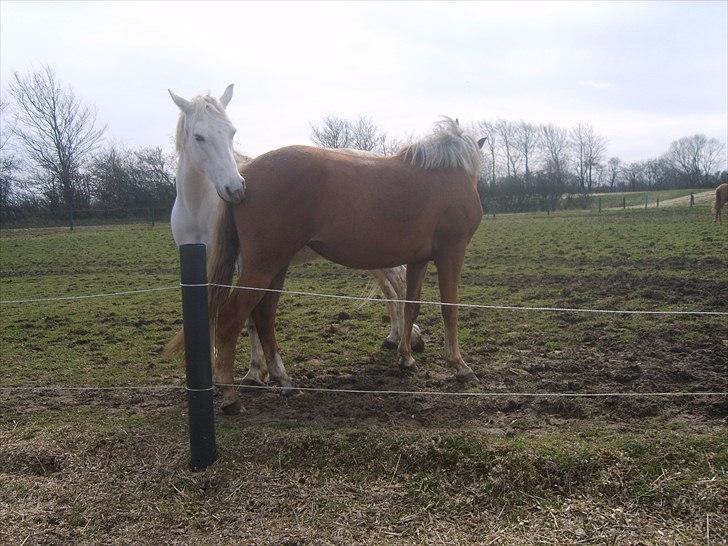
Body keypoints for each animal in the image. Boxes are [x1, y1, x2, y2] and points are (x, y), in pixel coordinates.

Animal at [168, 85, 424, 388]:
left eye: (231, 132)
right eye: (199, 136)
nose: (235, 188)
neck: (197, 207)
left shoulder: (244, 264)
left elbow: (249, 318)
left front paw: (256, 372)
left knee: (399, 287)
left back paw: (408, 342)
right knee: (391, 291)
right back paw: (395, 338)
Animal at [200, 117, 484, 410]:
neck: (449, 175)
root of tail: (243, 178)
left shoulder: (418, 260)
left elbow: (411, 307)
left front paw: (406, 358)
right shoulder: (452, 252)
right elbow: (450, 309)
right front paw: (460, 366)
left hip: (276, 266)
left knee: (264, 315)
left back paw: (285, 381)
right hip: (263, 266)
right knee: (231, 315)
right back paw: (230, 395)